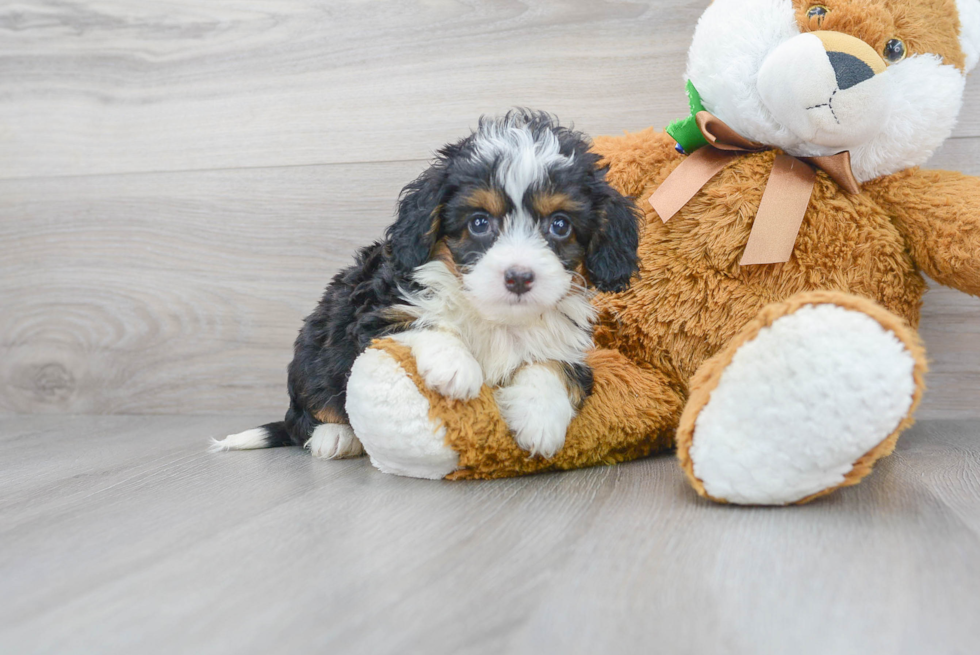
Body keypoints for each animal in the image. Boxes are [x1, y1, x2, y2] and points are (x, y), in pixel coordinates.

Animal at [213, 109, 640, 462]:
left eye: (560, 225)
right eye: (479, 223)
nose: (519, 276)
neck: (495, 317)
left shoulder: (571, 347)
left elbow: (554, 366)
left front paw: (540, 419)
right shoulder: (373, 314)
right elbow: (421, 321)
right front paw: (455, 367)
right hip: (313, 354)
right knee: (309, 413)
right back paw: (334, 436)